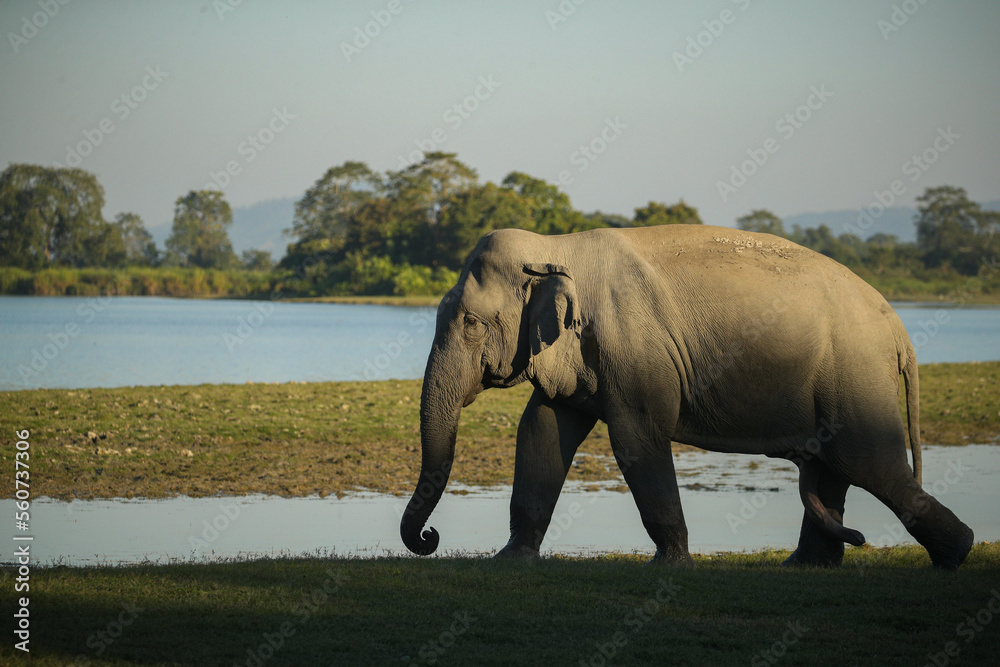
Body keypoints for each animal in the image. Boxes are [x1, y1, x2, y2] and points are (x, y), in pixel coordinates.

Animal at [399, 224, 975, 570]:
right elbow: (541, 432)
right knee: (838, 466)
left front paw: (669, 565)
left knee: (869, 461)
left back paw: (959, 554)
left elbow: (637, 438)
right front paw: (509, 561)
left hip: (856, 374)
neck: (557, 246)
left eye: (471, 323)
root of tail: (898, 327)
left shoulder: (634, 349)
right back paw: (805, 567)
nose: (430, 540)